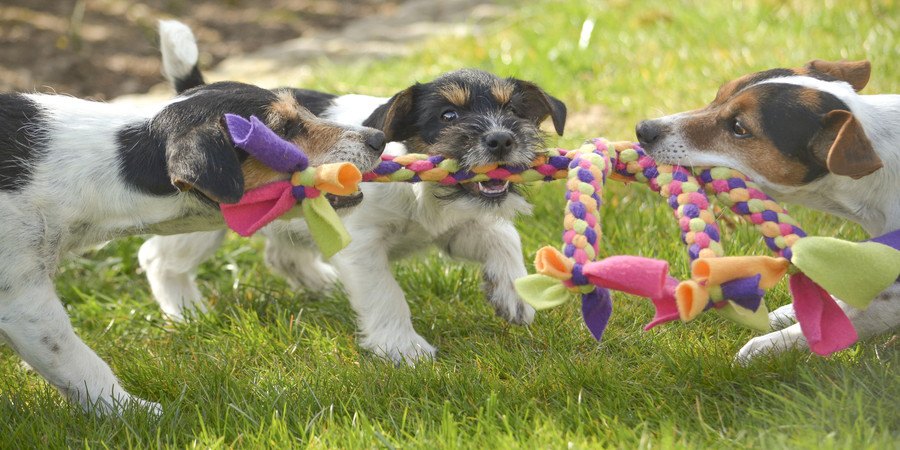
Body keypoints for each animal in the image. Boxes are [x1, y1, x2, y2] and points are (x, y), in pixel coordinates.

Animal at [137, 22, 568, 366]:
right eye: (449, 116)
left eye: (515, 113)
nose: (502, 139)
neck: (421, 191)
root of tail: (191, 96)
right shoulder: (362, 247)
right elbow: (386, 294)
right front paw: (403, 349)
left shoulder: (457, 227)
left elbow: (503, 236)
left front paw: (513, 293)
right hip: (201, 220)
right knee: (157, 258)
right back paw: (187, 313)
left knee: (281, 252)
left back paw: (320, 283)